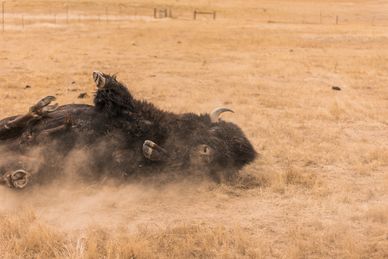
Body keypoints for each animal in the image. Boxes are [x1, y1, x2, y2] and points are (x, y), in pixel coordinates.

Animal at [0, 72, 258, 190]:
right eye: (215, 131)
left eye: (226, 162)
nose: (205, 152)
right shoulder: (129, 113)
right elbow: (122, 101)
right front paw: (102, 78)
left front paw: (152, 149)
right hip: (9, 125)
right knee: (13, 124)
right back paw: (41, 107)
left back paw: (18, 177)